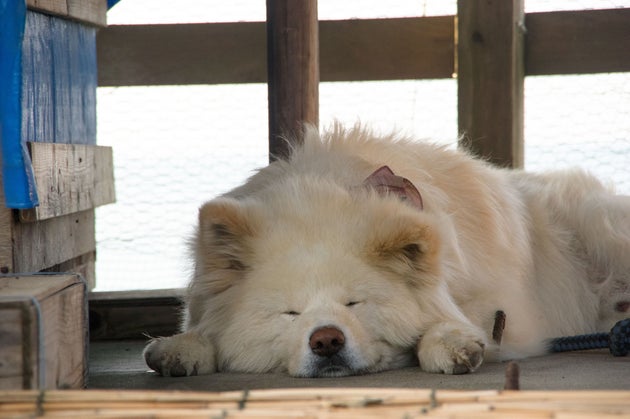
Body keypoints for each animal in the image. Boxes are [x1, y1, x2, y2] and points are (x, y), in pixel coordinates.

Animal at [144, 124, 630, 378]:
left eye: (354, 303)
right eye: (290, 313)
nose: (326, 340)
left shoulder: (499, 311)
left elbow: (457, 323)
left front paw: (451, 343)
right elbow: (202, 331)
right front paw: (179, 348)